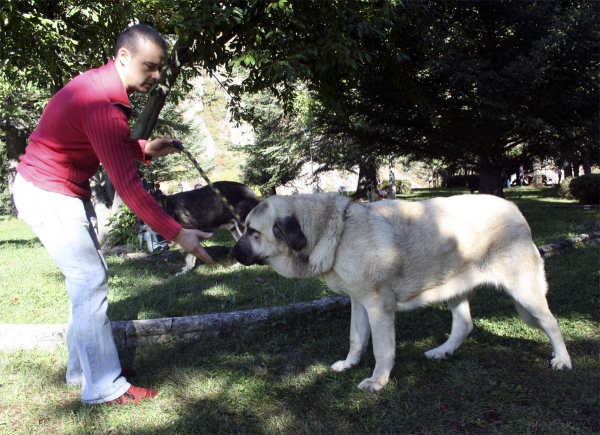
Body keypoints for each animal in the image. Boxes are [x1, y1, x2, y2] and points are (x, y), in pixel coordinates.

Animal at [230, 193, 572, 392]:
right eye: (243, 228)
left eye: (253, 232)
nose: (232, 252)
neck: (335, 231)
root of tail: (515, 209)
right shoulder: (358, 303)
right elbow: (356, 339)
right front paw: (349, 364)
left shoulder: (378, 307)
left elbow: (382, 349)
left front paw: (378, 380)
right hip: (454, 287)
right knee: (463, 325)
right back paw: (443, 351)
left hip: (524, 290)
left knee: (551, 322)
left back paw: (563, 360)